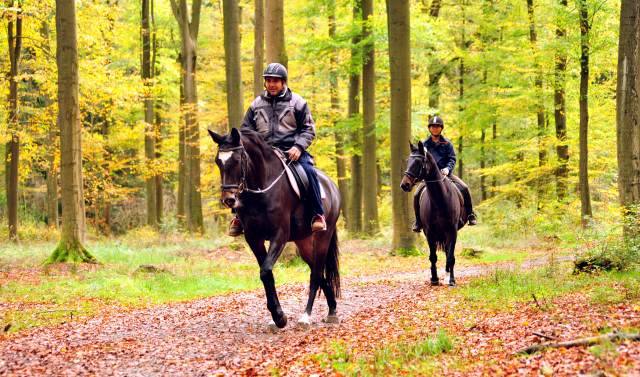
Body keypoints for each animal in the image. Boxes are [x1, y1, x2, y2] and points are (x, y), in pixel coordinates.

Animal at [209, 128, 340, 330]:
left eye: (237, 160)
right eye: (218, 161)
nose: (228, 200)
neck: (262, 188)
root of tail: (332, 185)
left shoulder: (280, 235)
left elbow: (265, 270)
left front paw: (278, 315)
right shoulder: (253, 238)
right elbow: (266, 273)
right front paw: (277, 317)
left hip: (323, 237)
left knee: (316, 273)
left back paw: (306, 316)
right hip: (303, 242)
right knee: (318, 271)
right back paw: (332, 309)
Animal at [400, 140, 464, 284]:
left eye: (419, 162)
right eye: (407, 161)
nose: (404, 185)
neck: (439, 200)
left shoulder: (452, 230)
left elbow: (451, 256)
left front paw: (451, 280)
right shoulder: (429, 231)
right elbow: (433, 256)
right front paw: (434, 278)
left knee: (448, 251)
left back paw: (447, 275)